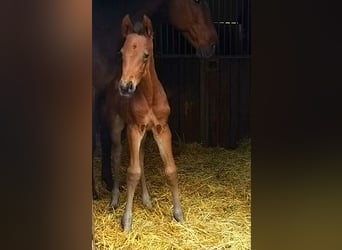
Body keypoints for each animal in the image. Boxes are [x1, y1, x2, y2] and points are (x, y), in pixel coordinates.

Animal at [92, 0, 218, 199]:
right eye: (197, 1)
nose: (213, 43)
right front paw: (93, 192)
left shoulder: (105, 94)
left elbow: (105, 138)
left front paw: (109, 182)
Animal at [105, 14, 184, 231]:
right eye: (122, 53)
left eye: (146, 55)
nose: (126, 87)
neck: (149, 97)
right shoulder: (134, 129)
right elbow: (132, 172)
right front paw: (127, 221)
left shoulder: (162, 129)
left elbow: (170, 169)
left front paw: (179, 214)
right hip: (117, 126)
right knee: (116, 156)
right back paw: (114, 200)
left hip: (145, 133)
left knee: (140, 158)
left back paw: (147, 200)